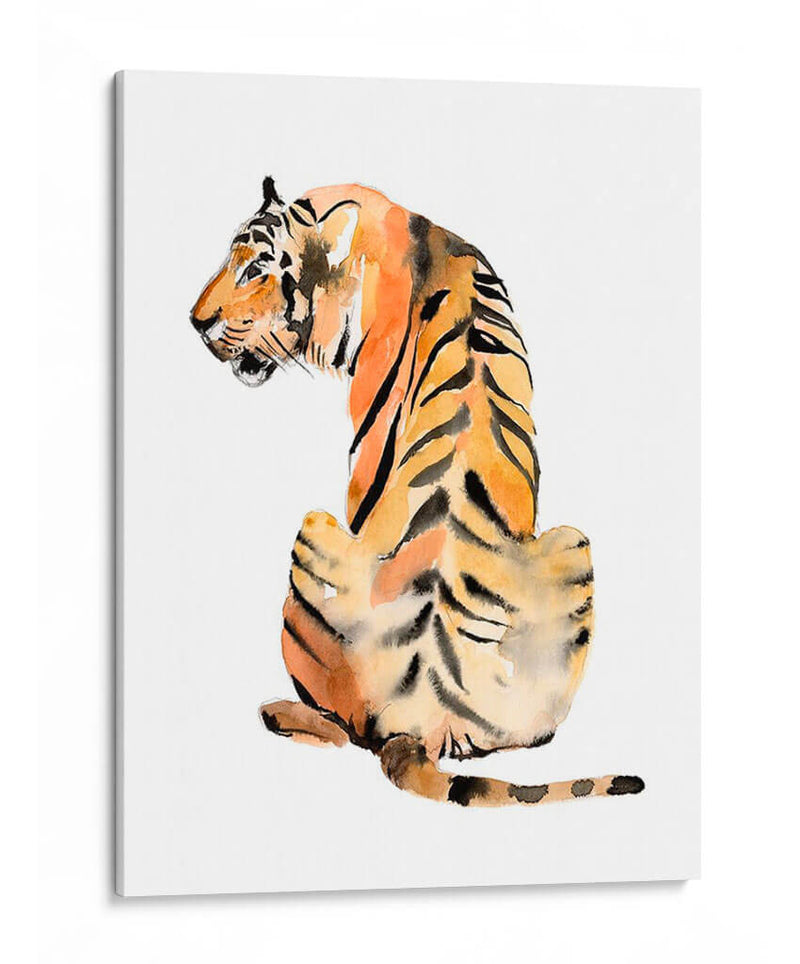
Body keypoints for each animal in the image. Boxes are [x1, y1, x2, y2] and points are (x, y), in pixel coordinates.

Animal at [190, 176, 644, 807]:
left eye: (255, 267)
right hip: (572, 551)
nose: (194, 321)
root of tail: (421, 720)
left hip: (313, 530)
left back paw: (278, 711)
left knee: (345, 730)